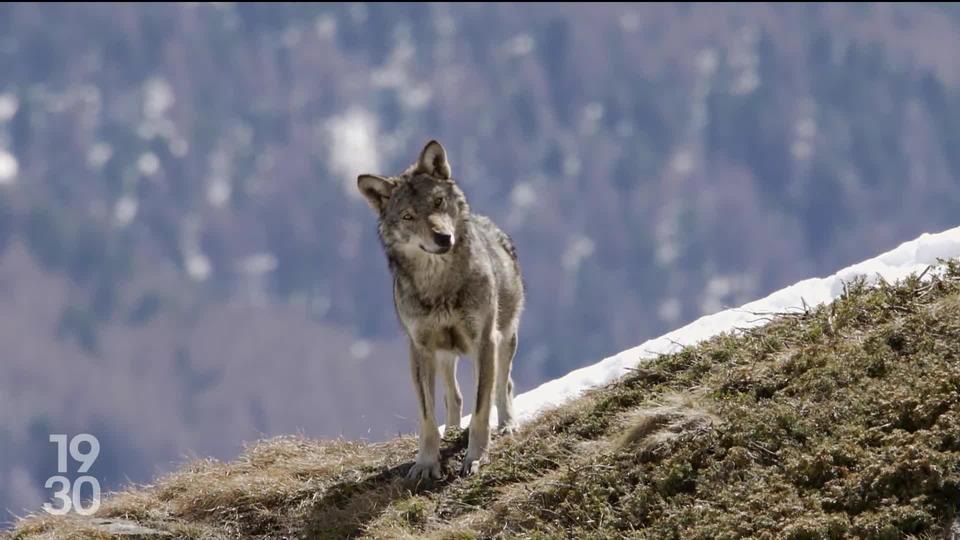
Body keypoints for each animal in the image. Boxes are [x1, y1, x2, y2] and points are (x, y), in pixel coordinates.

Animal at [358, 140, 524, 480]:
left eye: (438, 201)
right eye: (408, 216)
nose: (442, 237)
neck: (440, 287)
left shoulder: (484, 341)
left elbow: (481, 408)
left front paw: (475, 457)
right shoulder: (419, 348)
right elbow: (427, 418)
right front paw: (426, 463)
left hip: (504, 339)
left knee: (504, 385)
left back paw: (507, 425)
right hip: (445, 353)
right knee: (454, 395)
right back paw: (452, 429)